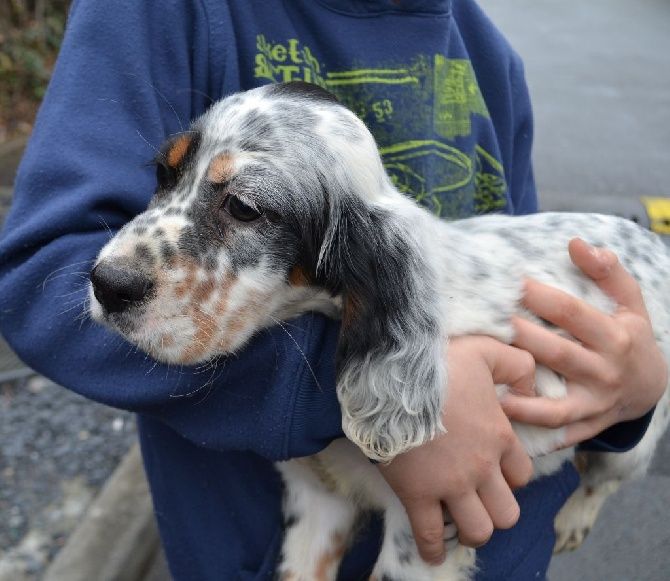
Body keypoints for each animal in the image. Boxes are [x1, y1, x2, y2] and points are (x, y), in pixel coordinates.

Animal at [89, 82, 670, 580]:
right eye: (163, 176)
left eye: (244, 207)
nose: (105, 283)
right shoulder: (315, 500)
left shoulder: (429, 530)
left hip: (638, 430)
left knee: (604, 477)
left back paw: (572, 518)